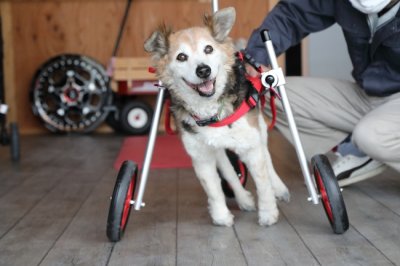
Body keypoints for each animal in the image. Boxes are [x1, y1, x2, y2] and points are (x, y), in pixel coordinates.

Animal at [145, 6, 290, 227]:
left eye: (208, 49)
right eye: (181, 57)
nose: (203, 70)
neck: (212, 111)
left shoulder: (250, 144)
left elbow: (263, 181)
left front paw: (268, 214)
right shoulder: (201, 155)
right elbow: (213, 189)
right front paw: (221, 217)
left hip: (259, 130)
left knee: (267, 157)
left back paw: (279, 188)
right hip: (217, 147)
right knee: (228, 169)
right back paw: (243, 198)